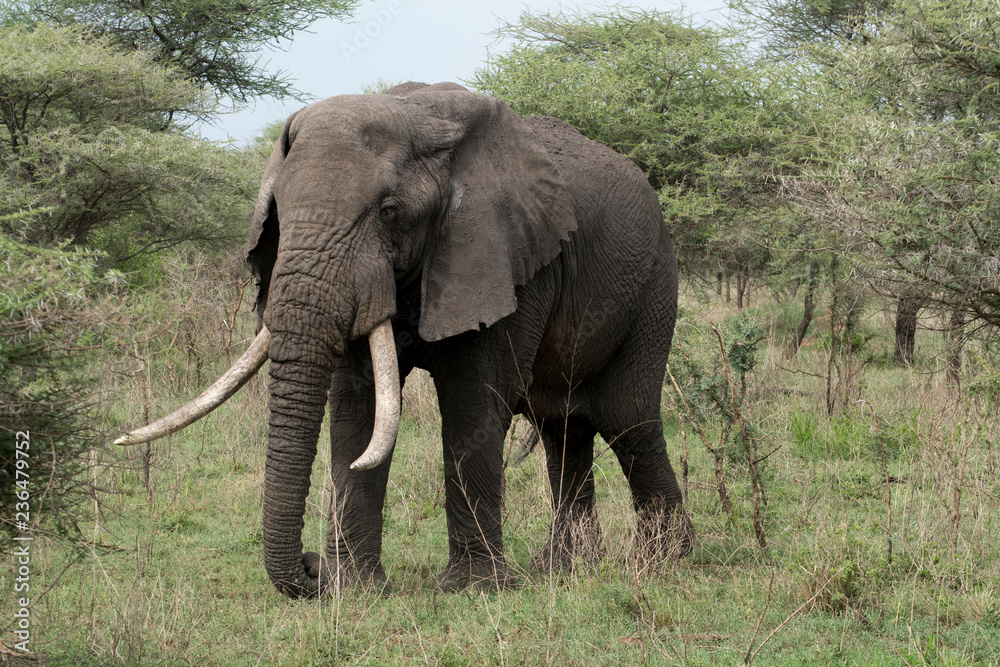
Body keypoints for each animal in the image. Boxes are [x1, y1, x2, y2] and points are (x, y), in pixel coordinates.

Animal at [117, 81, 692, 596]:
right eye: (277, 210)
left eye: (389, 212)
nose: (311, 569)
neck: (419, 114)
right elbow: (361, 405)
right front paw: (356, 589)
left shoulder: (506, 259)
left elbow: (471, 401)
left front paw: (472, 591)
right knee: (562, 426)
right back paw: (566, 569)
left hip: (654, 285)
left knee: (627, 417)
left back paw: (664, 562)